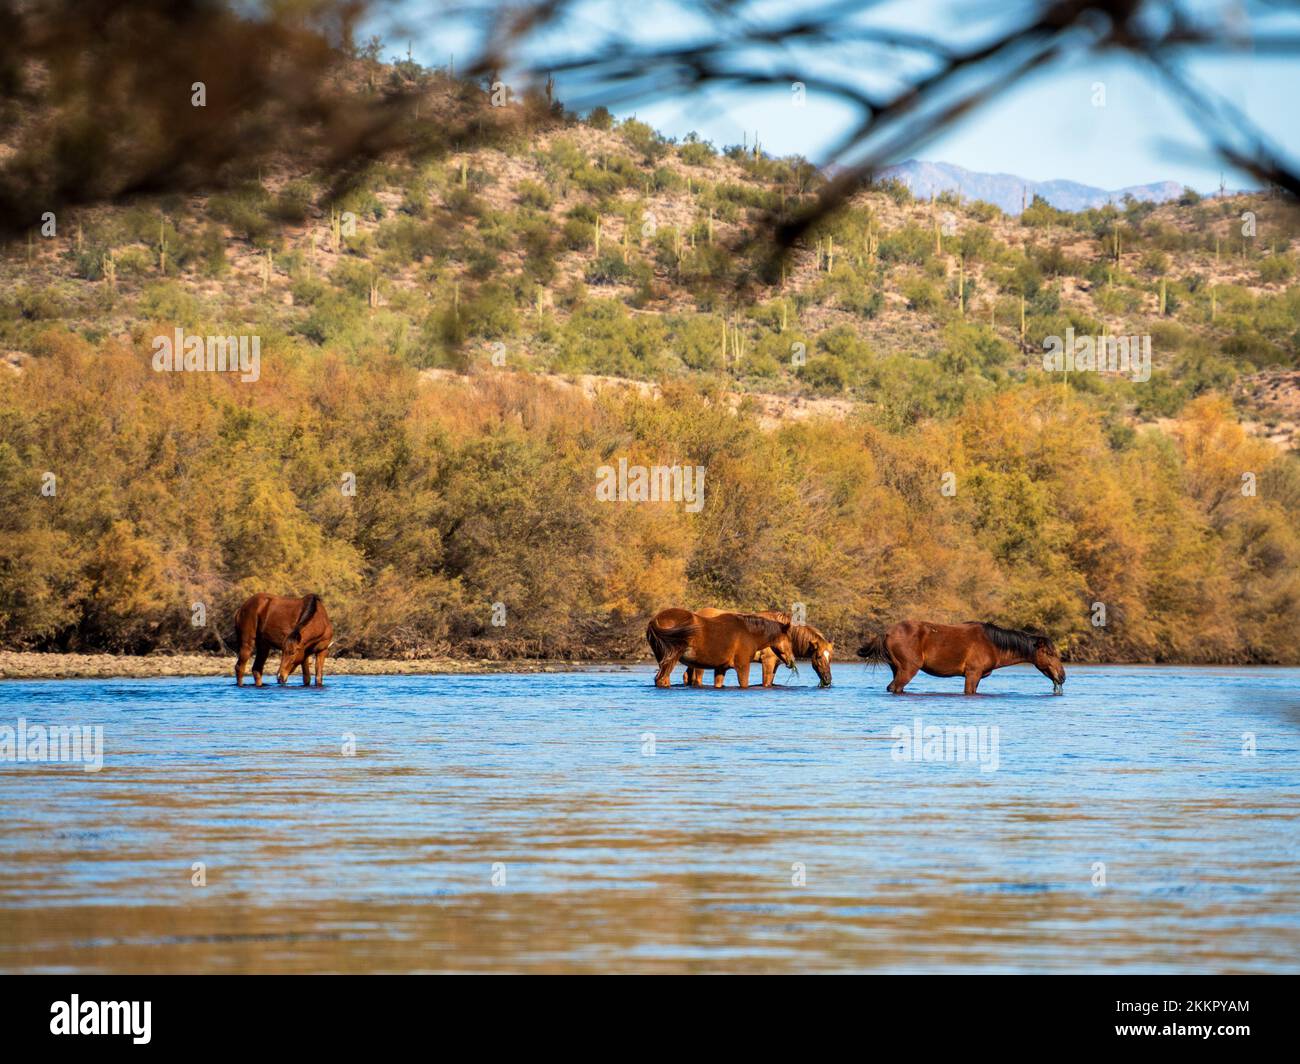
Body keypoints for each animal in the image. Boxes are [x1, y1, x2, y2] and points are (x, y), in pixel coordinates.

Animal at [646, 608, 796, 688]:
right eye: (789, 639)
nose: (792, 661)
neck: (749, 633)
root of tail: (654, 621)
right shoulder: (743, 666)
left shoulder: (720, 668)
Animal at [857, 620, 1065, 695]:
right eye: (1049, 653)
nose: (1062, 676)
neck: (992, 643)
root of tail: (887, 633)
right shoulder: (972, 674)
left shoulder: (978, 677)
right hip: (908, 669)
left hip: (896, 668)